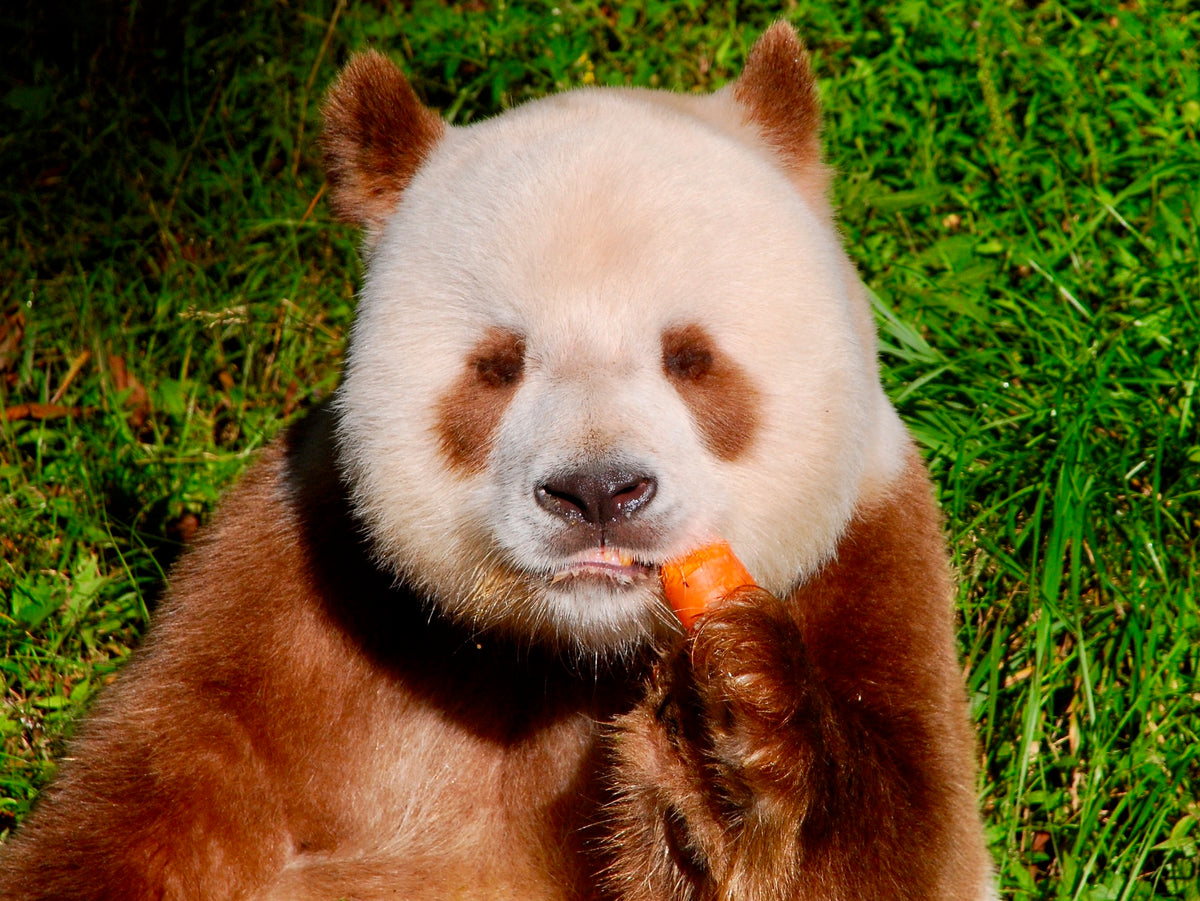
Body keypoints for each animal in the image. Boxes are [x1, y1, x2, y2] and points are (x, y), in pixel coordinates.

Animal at [0, 23, 994, 901]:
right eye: (499, 365)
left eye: (690, 357)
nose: (597, 491)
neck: (572, 656)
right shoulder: (289, 591)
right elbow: (140, 805)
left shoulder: (874, 567)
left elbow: (888, 852)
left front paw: (731, 735)